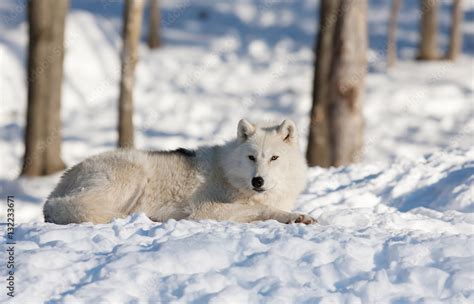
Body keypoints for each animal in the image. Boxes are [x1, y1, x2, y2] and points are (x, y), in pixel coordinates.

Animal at [44, 118, 316, 223]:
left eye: (274, 158)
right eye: (251, 157)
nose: (257, 181)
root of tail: (51, 198)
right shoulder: (205, 209)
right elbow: (262, 210)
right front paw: (296, 217)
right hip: (134, 175)